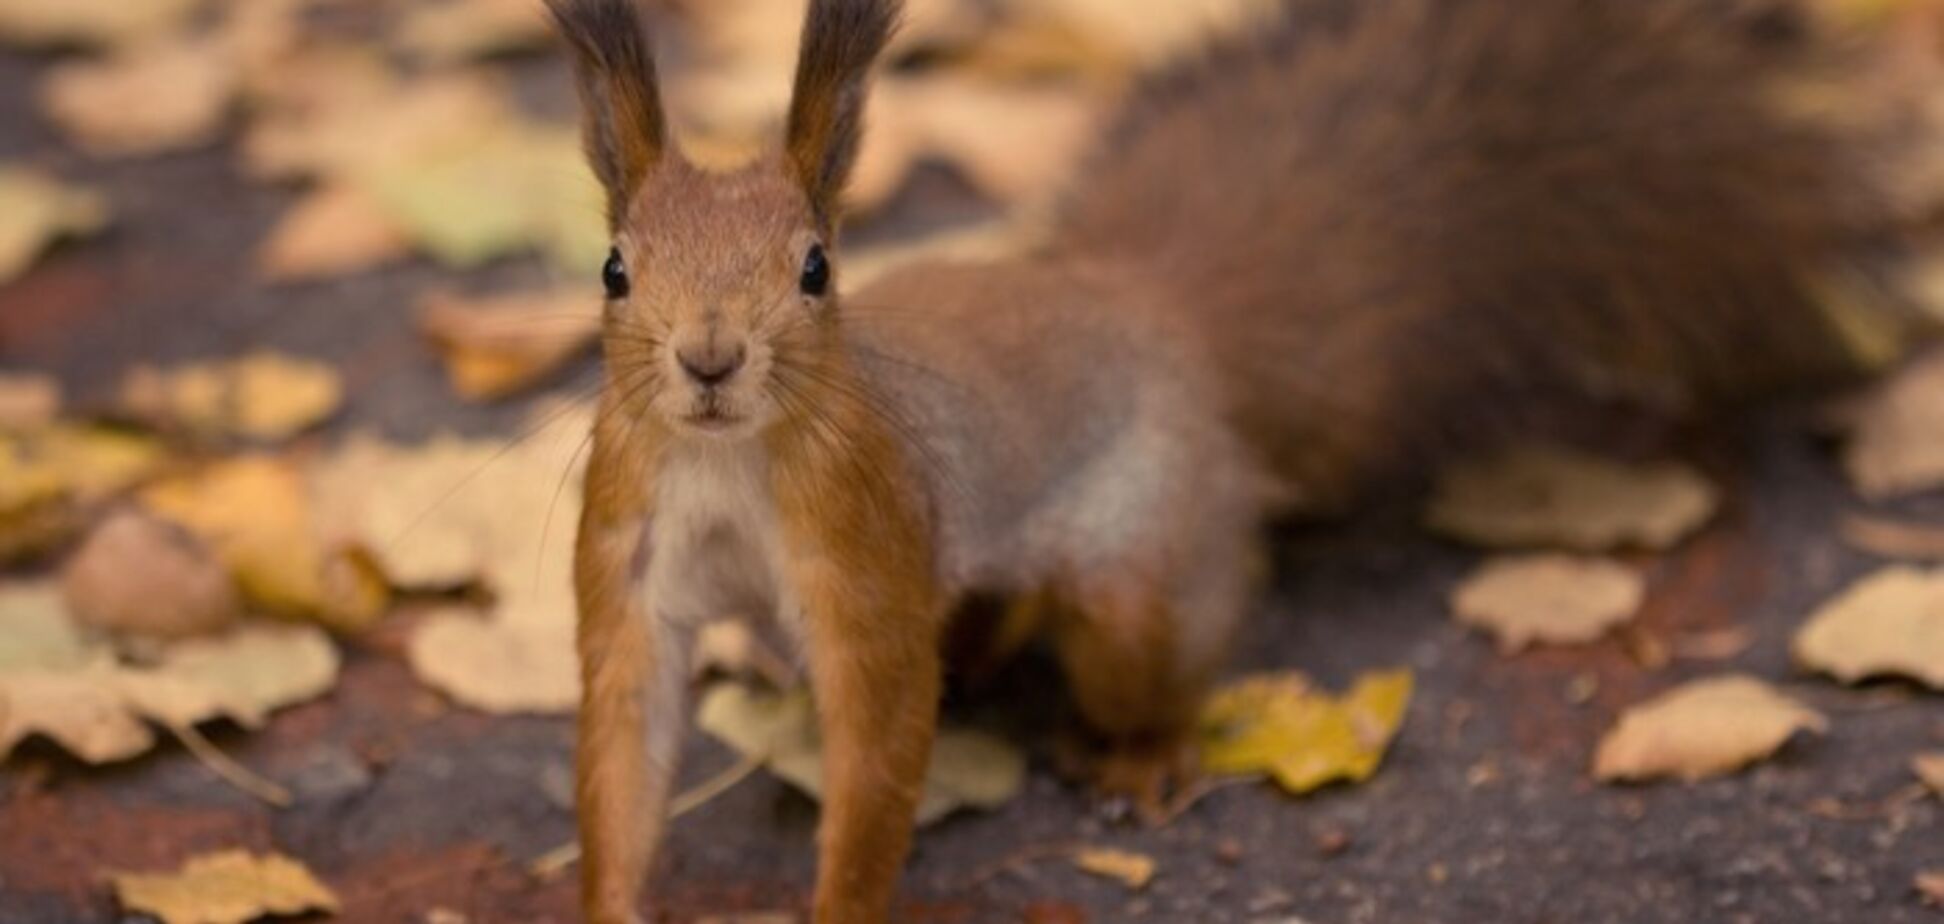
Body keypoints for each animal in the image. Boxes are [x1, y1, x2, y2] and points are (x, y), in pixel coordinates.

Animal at [544, 0, 1912, 922]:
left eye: (818, 268)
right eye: (612, 268)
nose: (709, 360)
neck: (725, 467)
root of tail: (1156, 312)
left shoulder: (864, 557)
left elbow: (877, 750)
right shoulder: (627, 563)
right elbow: (621, 752)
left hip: (1141, 570)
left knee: (1145, 657)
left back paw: (1140, 756)